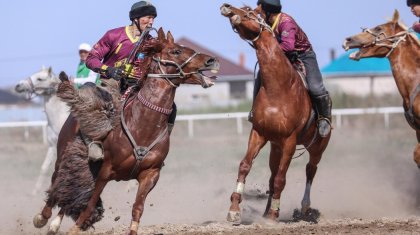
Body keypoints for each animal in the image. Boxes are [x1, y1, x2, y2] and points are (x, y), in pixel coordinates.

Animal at [14, 65, 69, 195]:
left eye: (40, 78)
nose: (18, 85)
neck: (60, 118)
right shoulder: (52, 146)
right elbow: (44, 167)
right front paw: (35, 191)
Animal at [32, 28, 220, 235]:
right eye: (176, 51)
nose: (211, 60)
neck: (142, 126)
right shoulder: (104, 172)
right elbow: (89, 204)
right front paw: (74, 227)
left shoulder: (150, 175)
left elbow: (137, 208)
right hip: (63, 154)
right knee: (57, 182)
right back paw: (42, 218)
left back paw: (55, 223)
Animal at [220, 4, 332, 224]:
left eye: (249, 11)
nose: (227, 6)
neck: (278, 87)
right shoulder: (259, 133)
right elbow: (245, 166)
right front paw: (234, 209)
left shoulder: (290, 141)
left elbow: (281, 178)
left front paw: (274, 214)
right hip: (275, 147)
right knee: (272, 176)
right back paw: (265, 212)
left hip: (317, 148)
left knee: (310, 171)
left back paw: (304, 208)